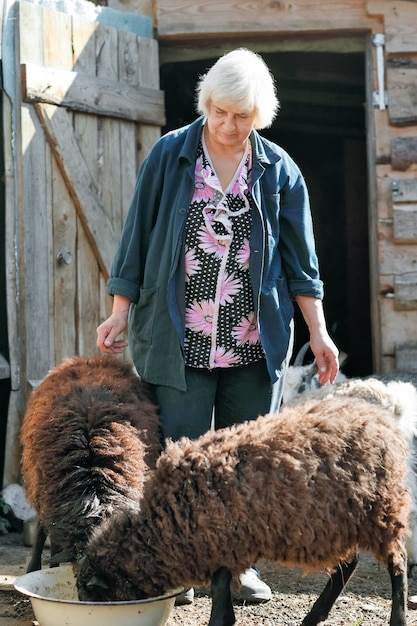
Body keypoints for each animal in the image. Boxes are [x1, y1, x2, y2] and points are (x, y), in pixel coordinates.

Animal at [77, 394, 410, 624]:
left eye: (94, 596)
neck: (162, 527)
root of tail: (381, 419)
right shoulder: (222, 547)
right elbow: (221, 587)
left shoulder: (223, 542)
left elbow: (219, 589)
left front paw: (219, 621)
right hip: (337, 522)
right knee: (348, 565)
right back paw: (314, 616)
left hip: (381, 510)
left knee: (397, 564)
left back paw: (397, 617)